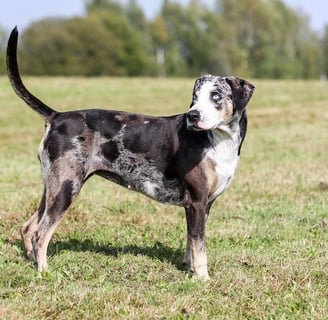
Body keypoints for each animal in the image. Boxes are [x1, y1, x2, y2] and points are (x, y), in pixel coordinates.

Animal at [6, 27, 255, 280]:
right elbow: (199, 245)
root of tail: (57, 116)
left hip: (53, 188)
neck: (218, 141)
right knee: (40, 234)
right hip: (66, 189)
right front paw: (203, 278)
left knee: (28, 228)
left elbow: (191, 242)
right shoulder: (196, 201)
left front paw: (189, 267)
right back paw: (44, 271)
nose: (192, 115)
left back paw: (32, 262)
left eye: (216, 95)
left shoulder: (202, 205)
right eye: (195, 98)